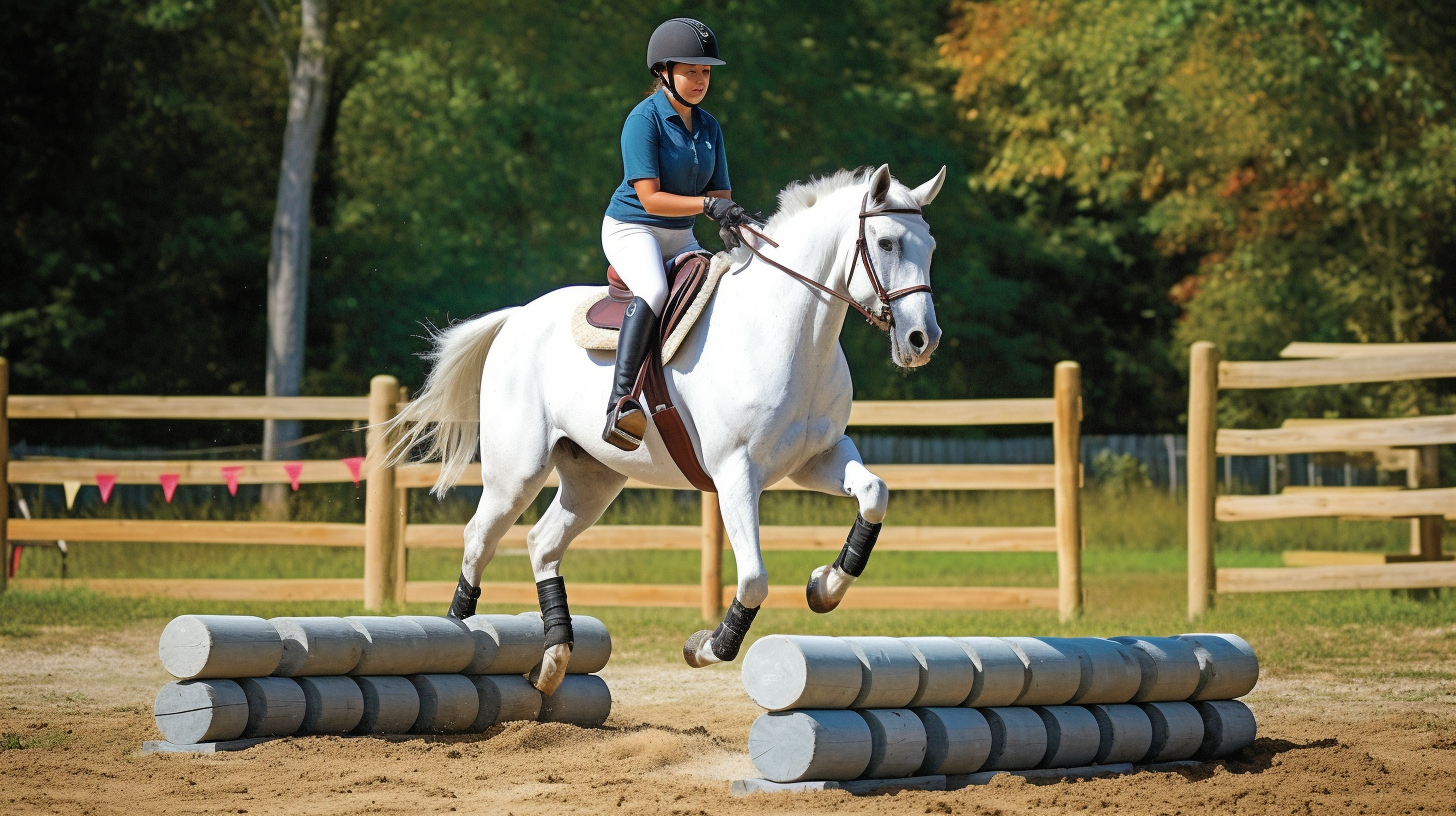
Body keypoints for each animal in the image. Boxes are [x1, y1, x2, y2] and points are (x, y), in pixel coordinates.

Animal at [378, 163, 943, 693]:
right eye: (887, 242)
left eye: (931, 247)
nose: (922, 340)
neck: (789, 329)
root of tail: (517, 318)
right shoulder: (736, 473)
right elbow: (754, 579)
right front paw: (709, 645)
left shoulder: (817, 459)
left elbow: (874, 494)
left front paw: (825, 586)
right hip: (516, 472)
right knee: (479, 539)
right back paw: (460, 633)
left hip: (594, 478)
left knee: (542, 542)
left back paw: (554, 659)